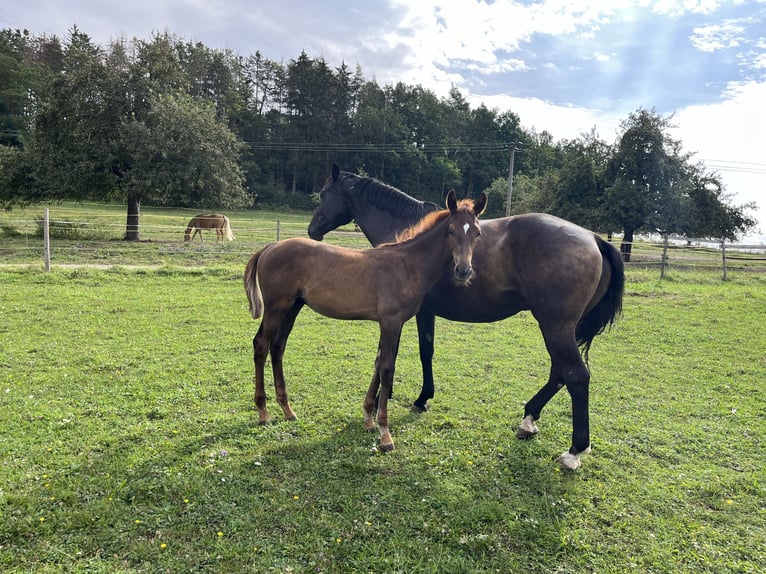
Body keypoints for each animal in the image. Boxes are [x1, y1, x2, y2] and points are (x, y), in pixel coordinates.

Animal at [243, 188, 488, 450]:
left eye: (477, 233)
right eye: (451, 230)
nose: (463, 271)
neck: (407, 264)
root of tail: (270, 247)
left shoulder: (390, 322)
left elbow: (378, 364)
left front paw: (369, 420)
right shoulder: (391, 321)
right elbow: (387, 368)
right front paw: (385, 433)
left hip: (292, 307)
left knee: (278, 347)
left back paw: (287, 409)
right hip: (275, 308)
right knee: (261, 345)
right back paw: (263, 412)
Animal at [308, 164, 628, 470]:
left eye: (323, 193)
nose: (312, 230)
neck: (407, 234)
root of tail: (594, 238)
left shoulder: (410, 313)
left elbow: (414, 353)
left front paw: (400, 402)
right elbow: (415, 353)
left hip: (556, 327)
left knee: (576, 376)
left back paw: (574, 452)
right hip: (559, 328)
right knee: (559, 373)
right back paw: (528, 419)